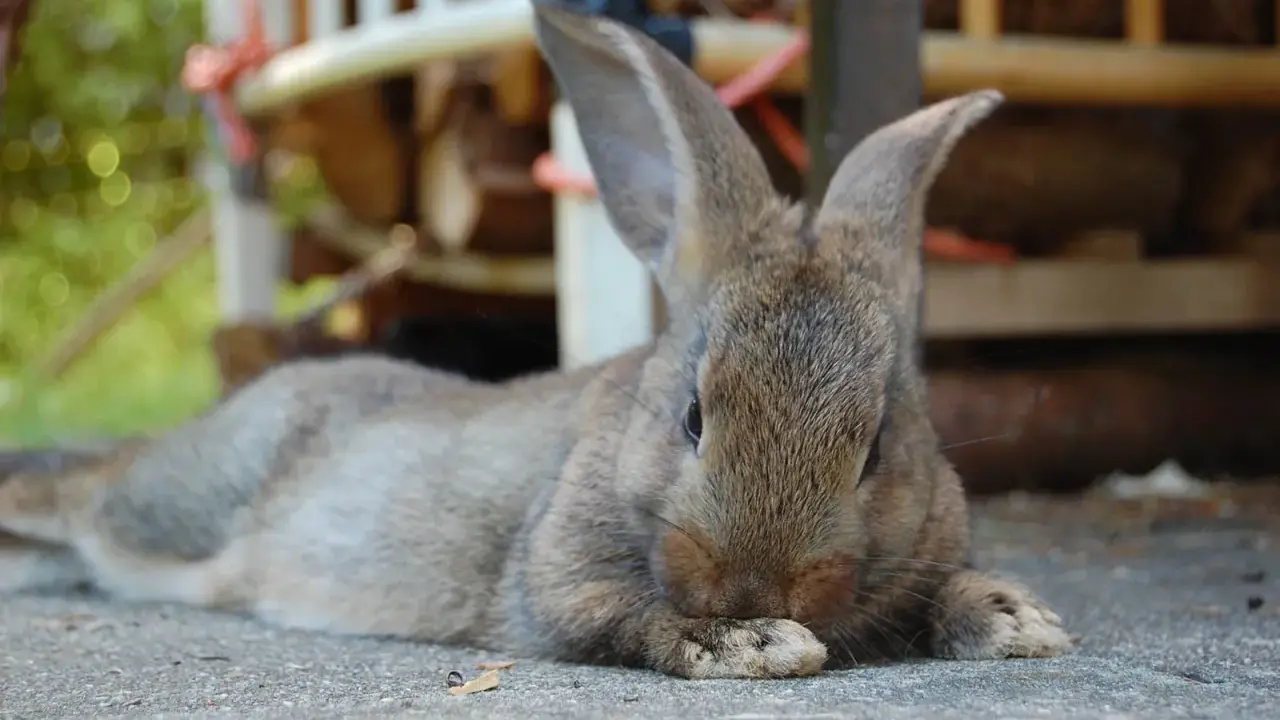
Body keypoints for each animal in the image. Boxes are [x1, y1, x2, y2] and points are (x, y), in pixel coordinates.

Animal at [0, 3, 1072, 679]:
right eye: (692, 417)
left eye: (877, 447)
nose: (754, 587)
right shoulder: (557, 580)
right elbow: (622, 619)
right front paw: (756, 646)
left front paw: (1017, 622)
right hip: (175, 500)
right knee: (80, 496)